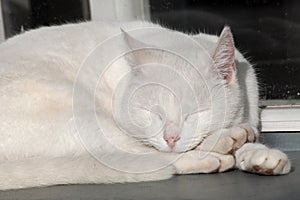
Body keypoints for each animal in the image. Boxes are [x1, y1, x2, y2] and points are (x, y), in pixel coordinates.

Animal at [0, 21, 290, 190]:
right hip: (83, 116)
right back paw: (219, 149)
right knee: (143, 156)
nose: (171, 137)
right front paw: (234, 143)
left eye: (193, 114)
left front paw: (259, 156)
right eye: (153, 114)